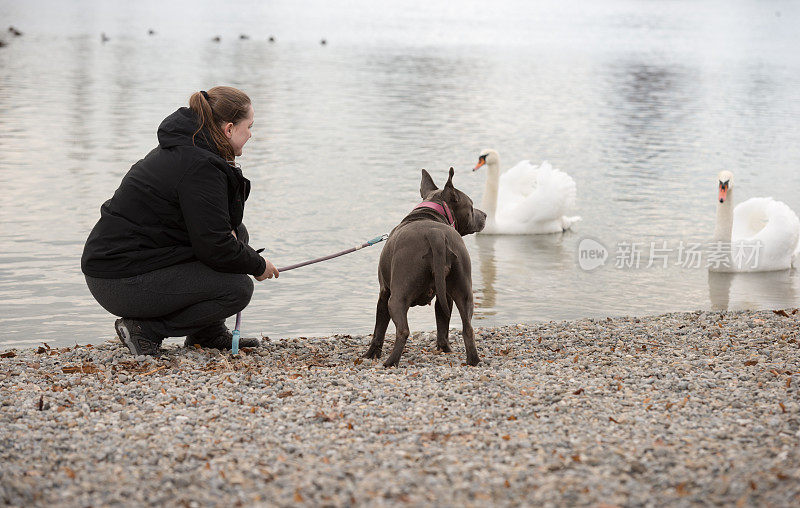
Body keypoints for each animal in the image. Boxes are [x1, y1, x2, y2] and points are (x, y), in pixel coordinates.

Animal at [364, 169, 488, 368]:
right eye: (471, 207)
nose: (484, 214)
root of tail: (435, 234)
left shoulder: (384, 292)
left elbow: (379, 329)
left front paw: (371, 354)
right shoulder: (445, 296)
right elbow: (442, 323)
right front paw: (444, 348)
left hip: (397, 296)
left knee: (403, 330)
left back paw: (391, 362)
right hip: (464, 291)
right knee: (468, 328)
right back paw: (473, 361)